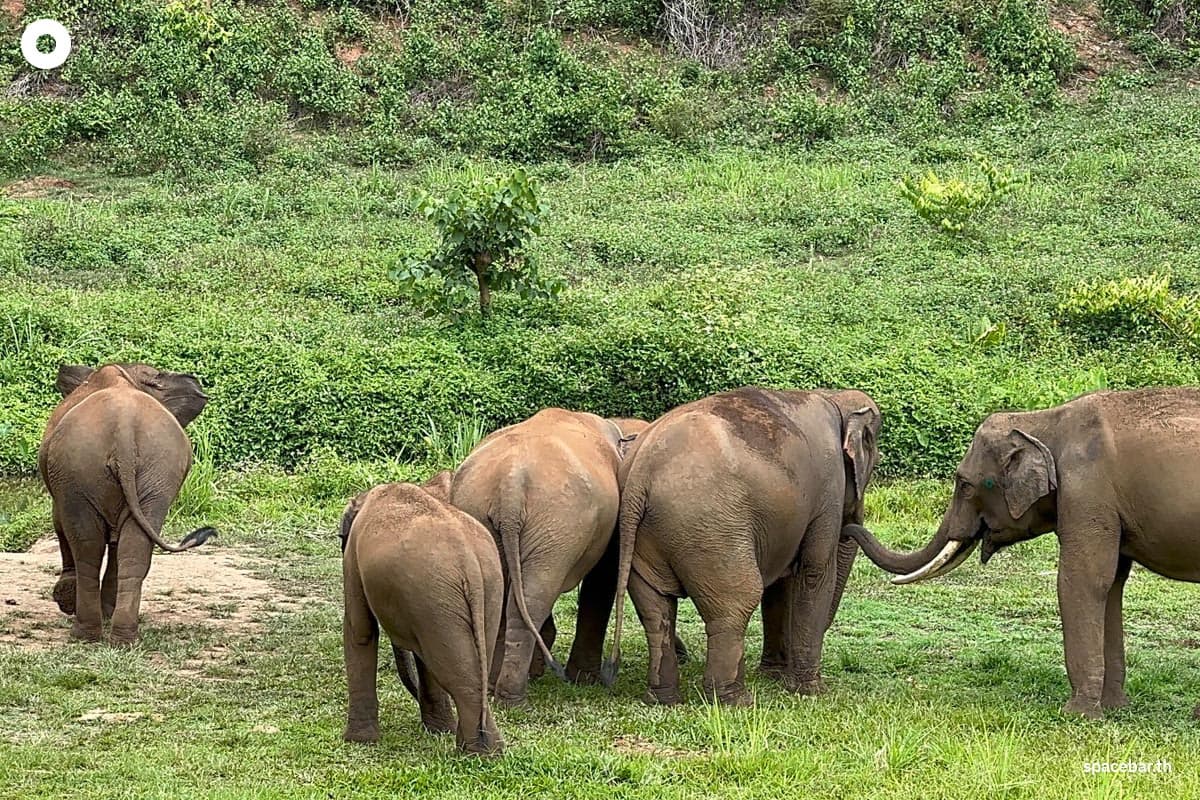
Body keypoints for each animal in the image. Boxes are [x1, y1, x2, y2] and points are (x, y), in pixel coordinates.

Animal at [38, 363, 217, 644]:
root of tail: (123, 430)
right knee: (133, 545)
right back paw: (121, 638)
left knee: (87, 543)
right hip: (154, 469)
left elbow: (60, 521)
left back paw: (85, 634)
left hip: (77, 468)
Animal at [340, 479, 503, 755]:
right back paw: (485, 750)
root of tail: (468, 559)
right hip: (481, 592)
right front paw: (439, 730)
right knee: (468, 663)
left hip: (435, 592)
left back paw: (475, 753)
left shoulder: (352, 558)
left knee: (454, 672)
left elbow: (359, 629)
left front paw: (357, 741)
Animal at [450, 408, 642, 705]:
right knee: (532, 599)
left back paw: (495, 688)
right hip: (557, 522)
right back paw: (514, 699)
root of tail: (510, 484)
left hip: (486, 516)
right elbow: (602, 577)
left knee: (511, 596)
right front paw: (585, 680)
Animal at [604, 387, 881, 705]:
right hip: (710, 529)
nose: (853, 523)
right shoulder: (828, 488)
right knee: (738, 601)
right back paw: (735, 701)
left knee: (655, 609)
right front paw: (811, 691)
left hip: (643, 537)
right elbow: (815, 571)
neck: (832, 395)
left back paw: (664, 699)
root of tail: (639, 475)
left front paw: (775, 676)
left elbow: (781, 585)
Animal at [846, 387, 1200, 720]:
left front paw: (1078, 714)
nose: (848, 526)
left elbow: (1083, 580)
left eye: (964, 485)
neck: (1043, 420)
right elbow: (1111, 584)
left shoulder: (1086, 492)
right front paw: (1114, 709)